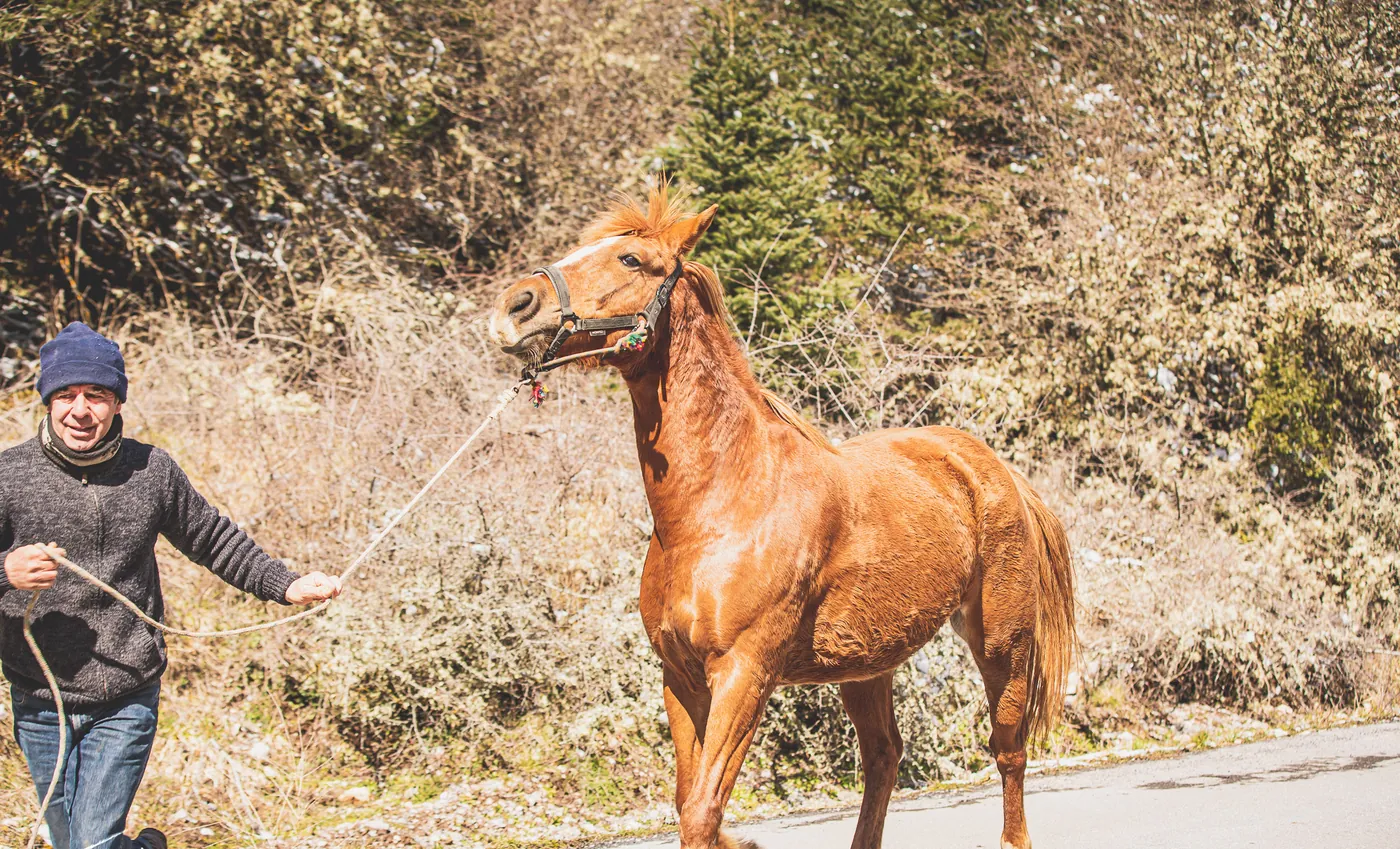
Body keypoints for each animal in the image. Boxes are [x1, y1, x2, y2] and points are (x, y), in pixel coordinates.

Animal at [488, 183, 1076, 849]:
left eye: (631, 260)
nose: (516, 306)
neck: (719, 507)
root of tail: (989, 466)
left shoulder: (745, 673)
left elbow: (703, 811)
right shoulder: (680, 679)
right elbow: (689, 802)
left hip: (1003, 641)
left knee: (1008, 749)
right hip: (866, 664)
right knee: (884, 757)